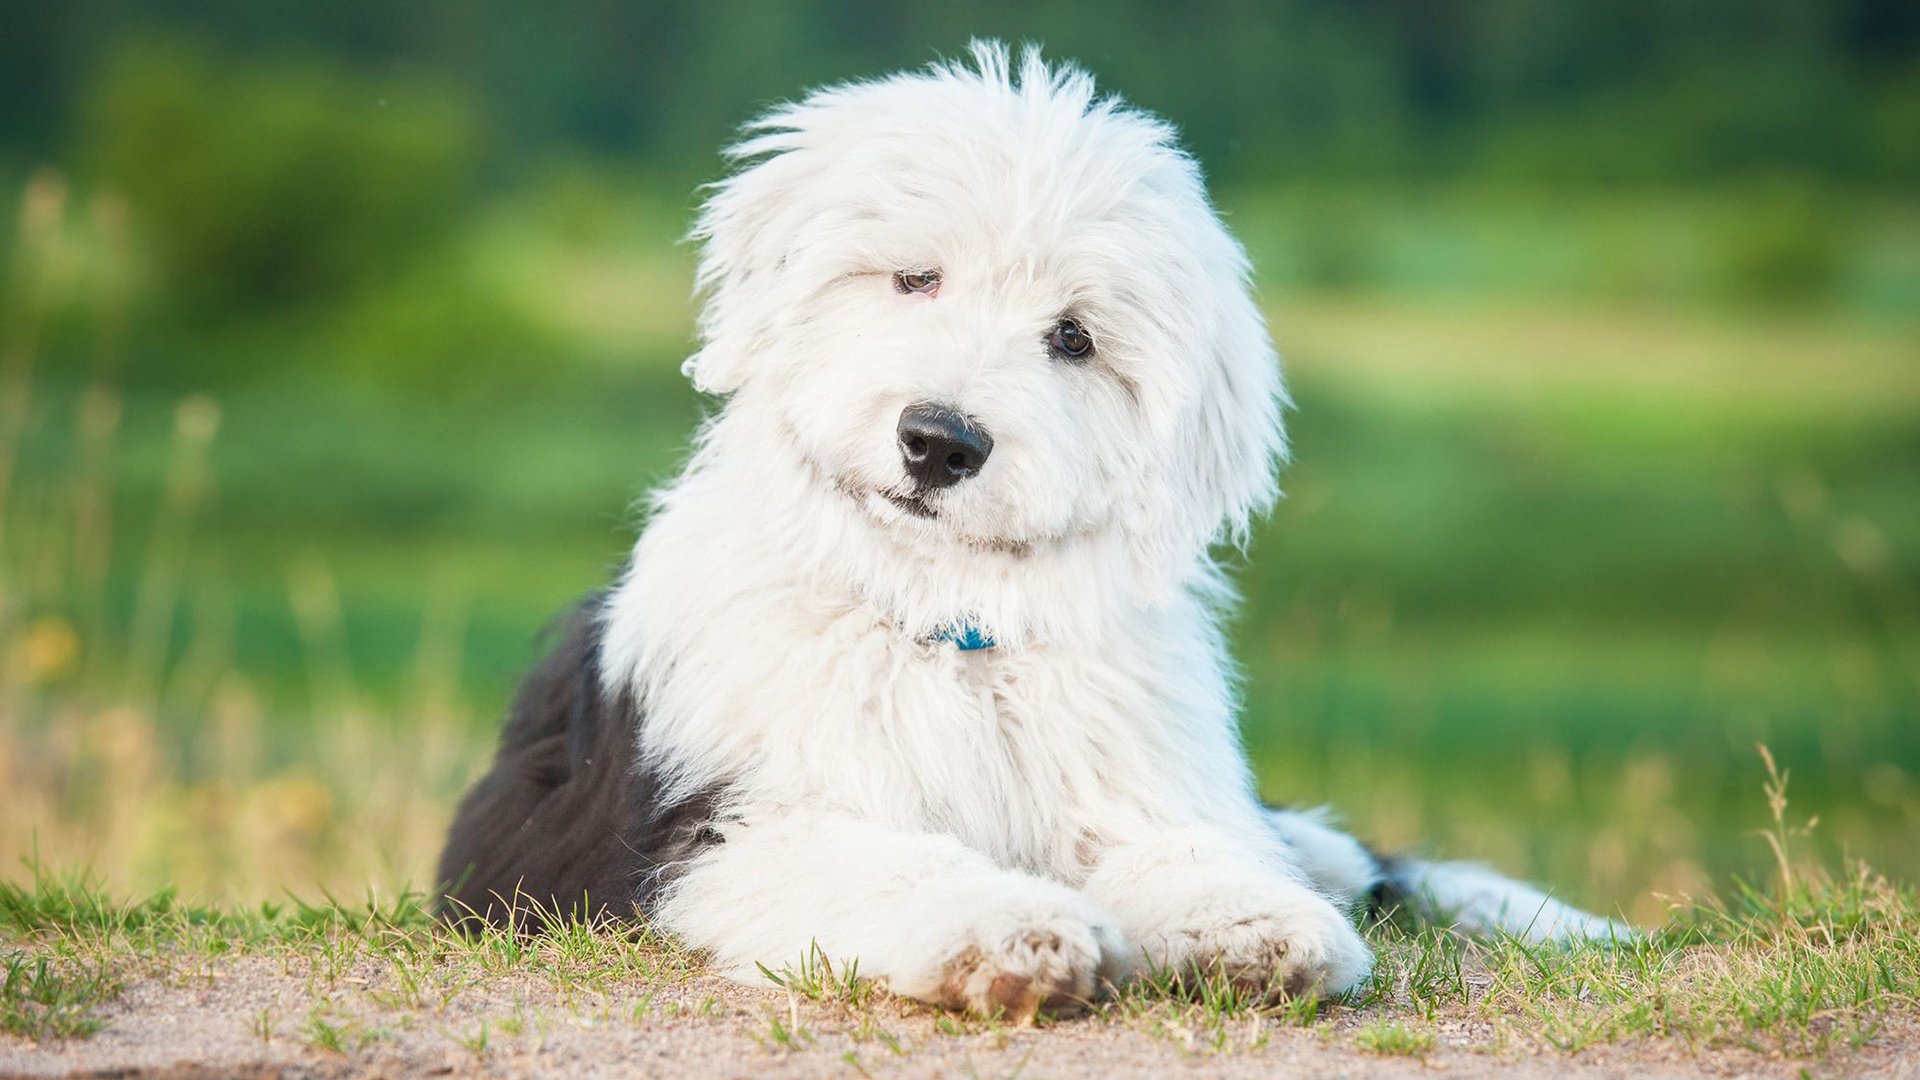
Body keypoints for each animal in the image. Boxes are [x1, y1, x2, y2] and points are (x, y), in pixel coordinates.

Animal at [439, 44, 1635, 1014]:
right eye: (915, 276)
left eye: (1072, 336)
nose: (940, 442)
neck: (948, 621)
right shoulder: (728, 827)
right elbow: (891, 866)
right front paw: (1015, 934)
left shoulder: (1131, 783)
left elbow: (1182, 849)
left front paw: (1252, 928)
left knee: (1359, 856)